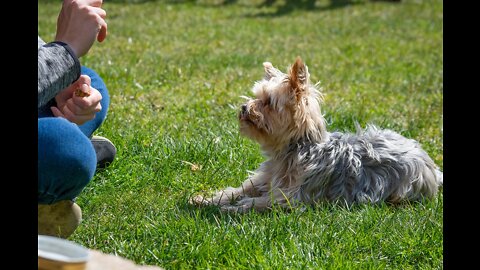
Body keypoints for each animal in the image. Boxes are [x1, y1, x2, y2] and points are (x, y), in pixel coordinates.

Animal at [190, 57, 442, 213]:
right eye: (256, 96)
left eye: (268, 102)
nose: (244, 108)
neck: (295, 149)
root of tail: (431, 164)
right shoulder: (264, 179)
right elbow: (237, 190)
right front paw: (206, 199)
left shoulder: (292, 197)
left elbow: (262, 201)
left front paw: (234, 208)